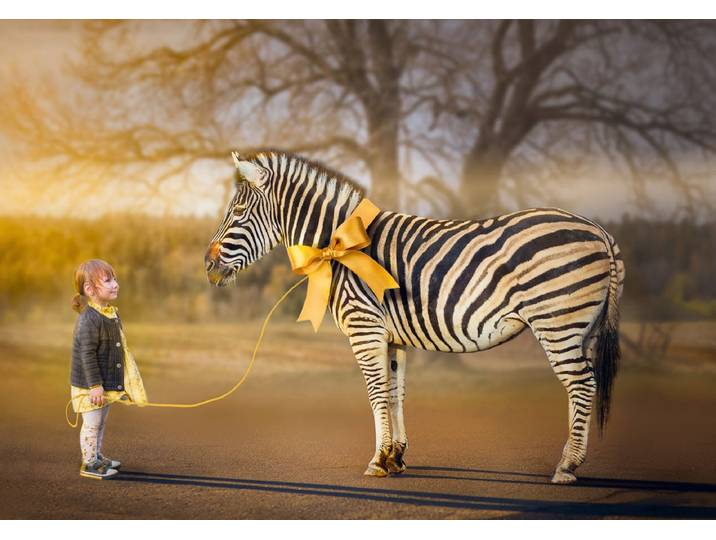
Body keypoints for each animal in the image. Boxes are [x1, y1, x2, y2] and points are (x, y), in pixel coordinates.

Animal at [205, 149, 625, 484]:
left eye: (237, 212)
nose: (207, 266)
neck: (338, 247)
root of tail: (600, 231)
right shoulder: (393, 336)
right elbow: (395, 392)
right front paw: (396, 456)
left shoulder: (365, 327)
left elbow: (376, 392)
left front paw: (377, 460)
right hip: (581, 328)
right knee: (584, 386)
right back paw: (572, 459)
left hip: (557, 321)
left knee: (580, 385)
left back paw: (567, 466)